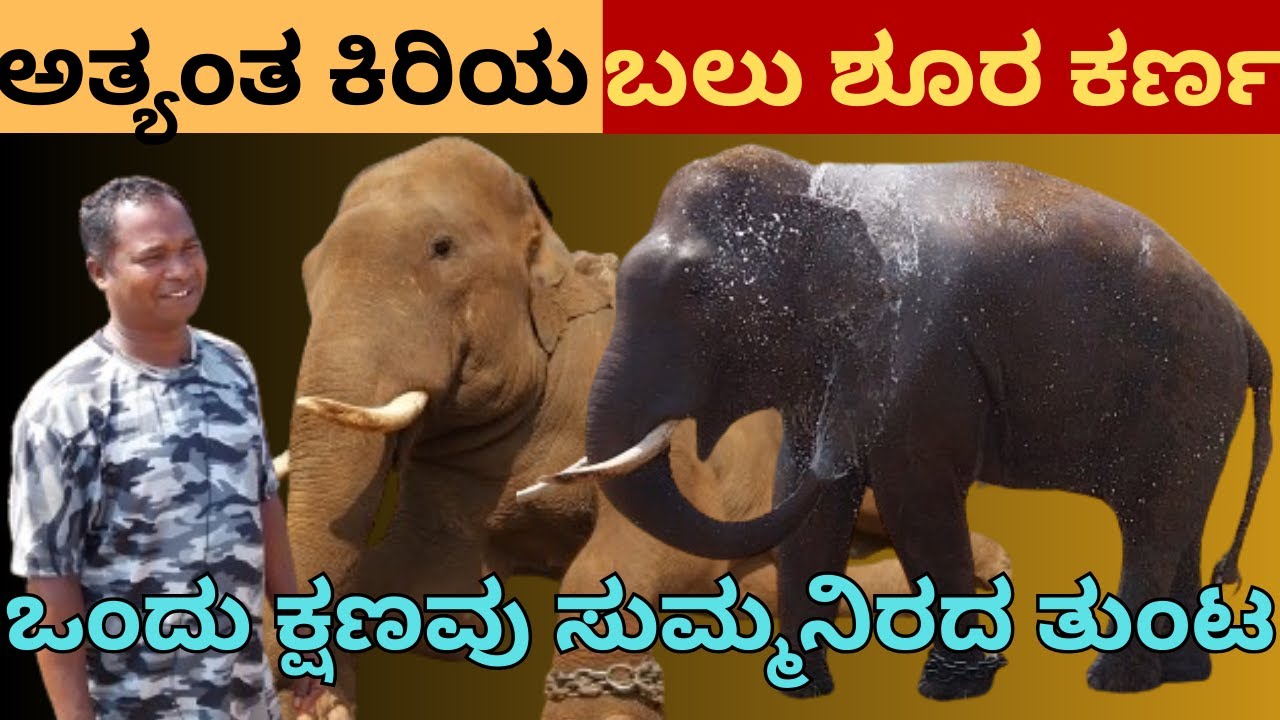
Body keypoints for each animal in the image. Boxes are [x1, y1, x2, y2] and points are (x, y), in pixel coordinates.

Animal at [273, 137, 1013, 720]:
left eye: (441, 248)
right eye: (306, 271)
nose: (313, 704)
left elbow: (646, 551)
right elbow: (430, 576)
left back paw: (987, 569)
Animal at [556, 145, 1272, 701]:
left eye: (696, 290)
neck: (822, 188)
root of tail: (1243, 322)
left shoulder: (919, 356)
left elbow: (915, 499)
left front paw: (953, 689)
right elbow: (807, 498)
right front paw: (800, 688)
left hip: (1190, 386)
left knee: (1153, 520)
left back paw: (1115, 682)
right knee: (1179, 520)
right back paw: (1181, 676)